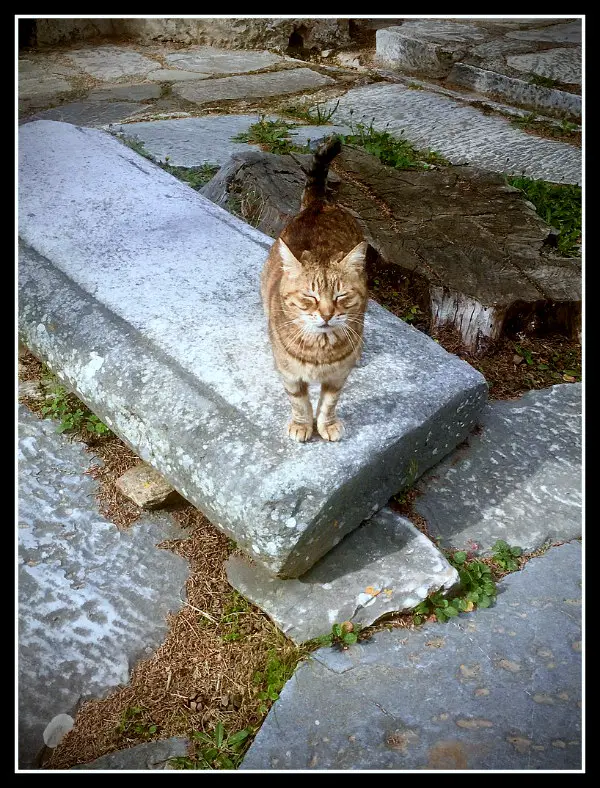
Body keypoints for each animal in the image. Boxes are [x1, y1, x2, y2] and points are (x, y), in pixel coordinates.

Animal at [260, 138, 368, 440]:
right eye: (309, 297)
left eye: (341, 296)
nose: (328, 314)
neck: (320, 351)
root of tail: (320, 203)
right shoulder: (290, 376)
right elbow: (299, 402)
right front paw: (302, 424)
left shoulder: (337, 377)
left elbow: (329, 402)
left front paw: (326, 424)